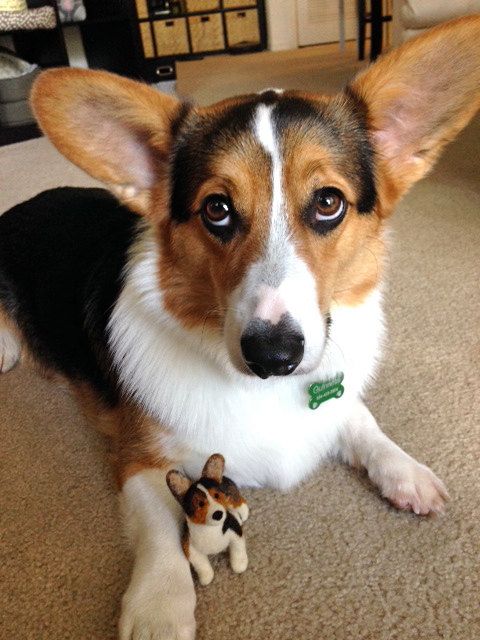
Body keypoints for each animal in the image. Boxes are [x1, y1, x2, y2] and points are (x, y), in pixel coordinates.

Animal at [0, 15, 478, 640]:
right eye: (217, 210)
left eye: (329, 202)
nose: (273, 355)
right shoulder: (139, 459)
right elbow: (163, 531)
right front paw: (159, 608)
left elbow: (360, 420)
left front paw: (406, 472)